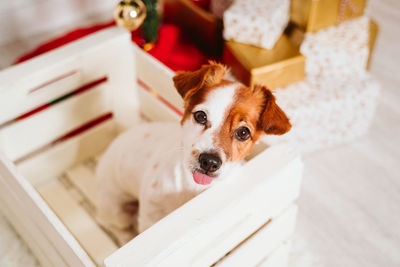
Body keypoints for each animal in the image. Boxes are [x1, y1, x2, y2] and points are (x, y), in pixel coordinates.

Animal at [95, 62, 292, 245]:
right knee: (114, 226)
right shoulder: (149, 216)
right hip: (116, 210)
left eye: (243, 132)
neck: (192, 188)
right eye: (200, 116)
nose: (209, 162)